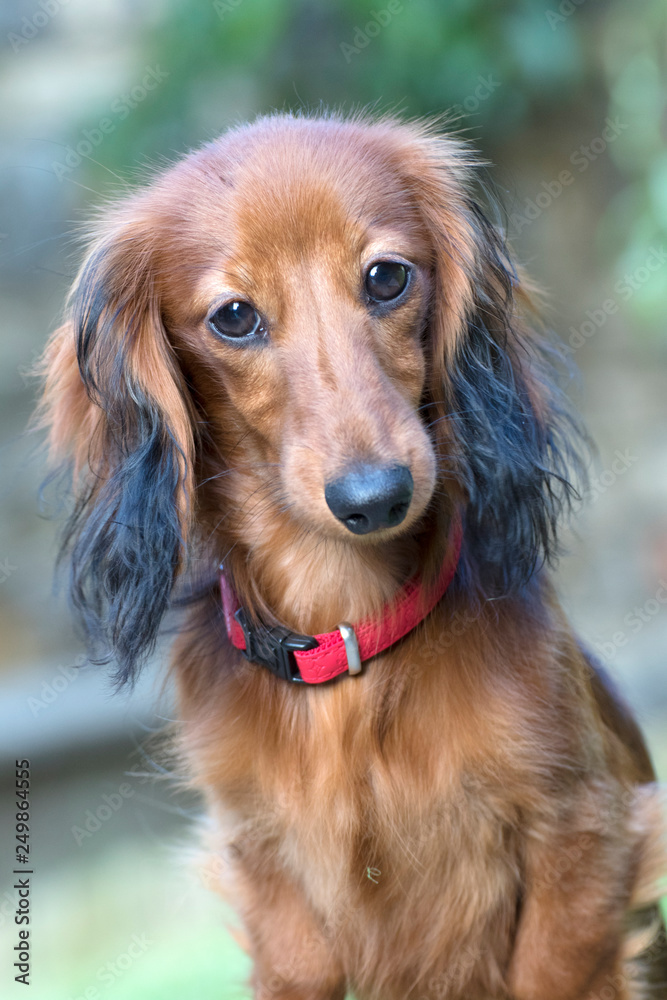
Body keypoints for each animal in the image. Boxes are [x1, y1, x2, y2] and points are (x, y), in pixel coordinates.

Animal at [39, 113, 664, 1000]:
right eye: (234, 317)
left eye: (386, 278)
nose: (375, 497)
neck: (351, 632)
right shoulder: (272, 887)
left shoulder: (581, 836)